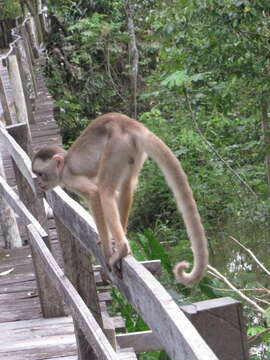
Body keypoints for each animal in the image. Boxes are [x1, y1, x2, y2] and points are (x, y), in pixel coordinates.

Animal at [32, 111, 209, 286]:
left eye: (41, 174)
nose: (39, 182)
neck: (63, 165)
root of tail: (126, 122)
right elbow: (116, 194)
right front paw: (110, 240)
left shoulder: (68, 177)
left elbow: (94, 194)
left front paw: (106, 249)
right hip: (132, 149)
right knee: (126, 187)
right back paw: (121, 240)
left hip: (117, 144)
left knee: (105, 191)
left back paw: (121, 248)